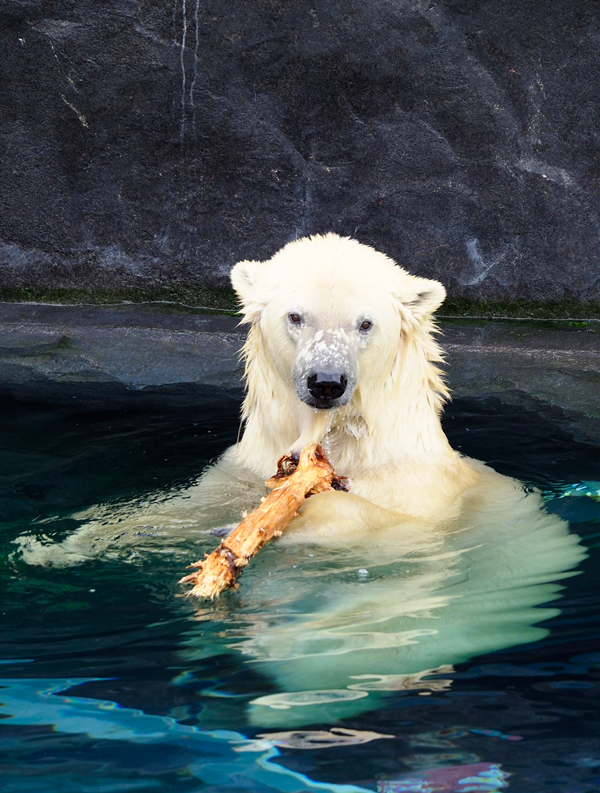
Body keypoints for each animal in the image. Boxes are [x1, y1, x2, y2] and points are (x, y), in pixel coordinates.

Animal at [15, 232, 584, 728]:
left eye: (365, 323)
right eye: (296, 316)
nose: (326, 382)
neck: (338, 443)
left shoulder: (423, 496)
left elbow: (388, 527)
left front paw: (282, 523)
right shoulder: (246, 466)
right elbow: (178, 508)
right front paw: (55, 545)